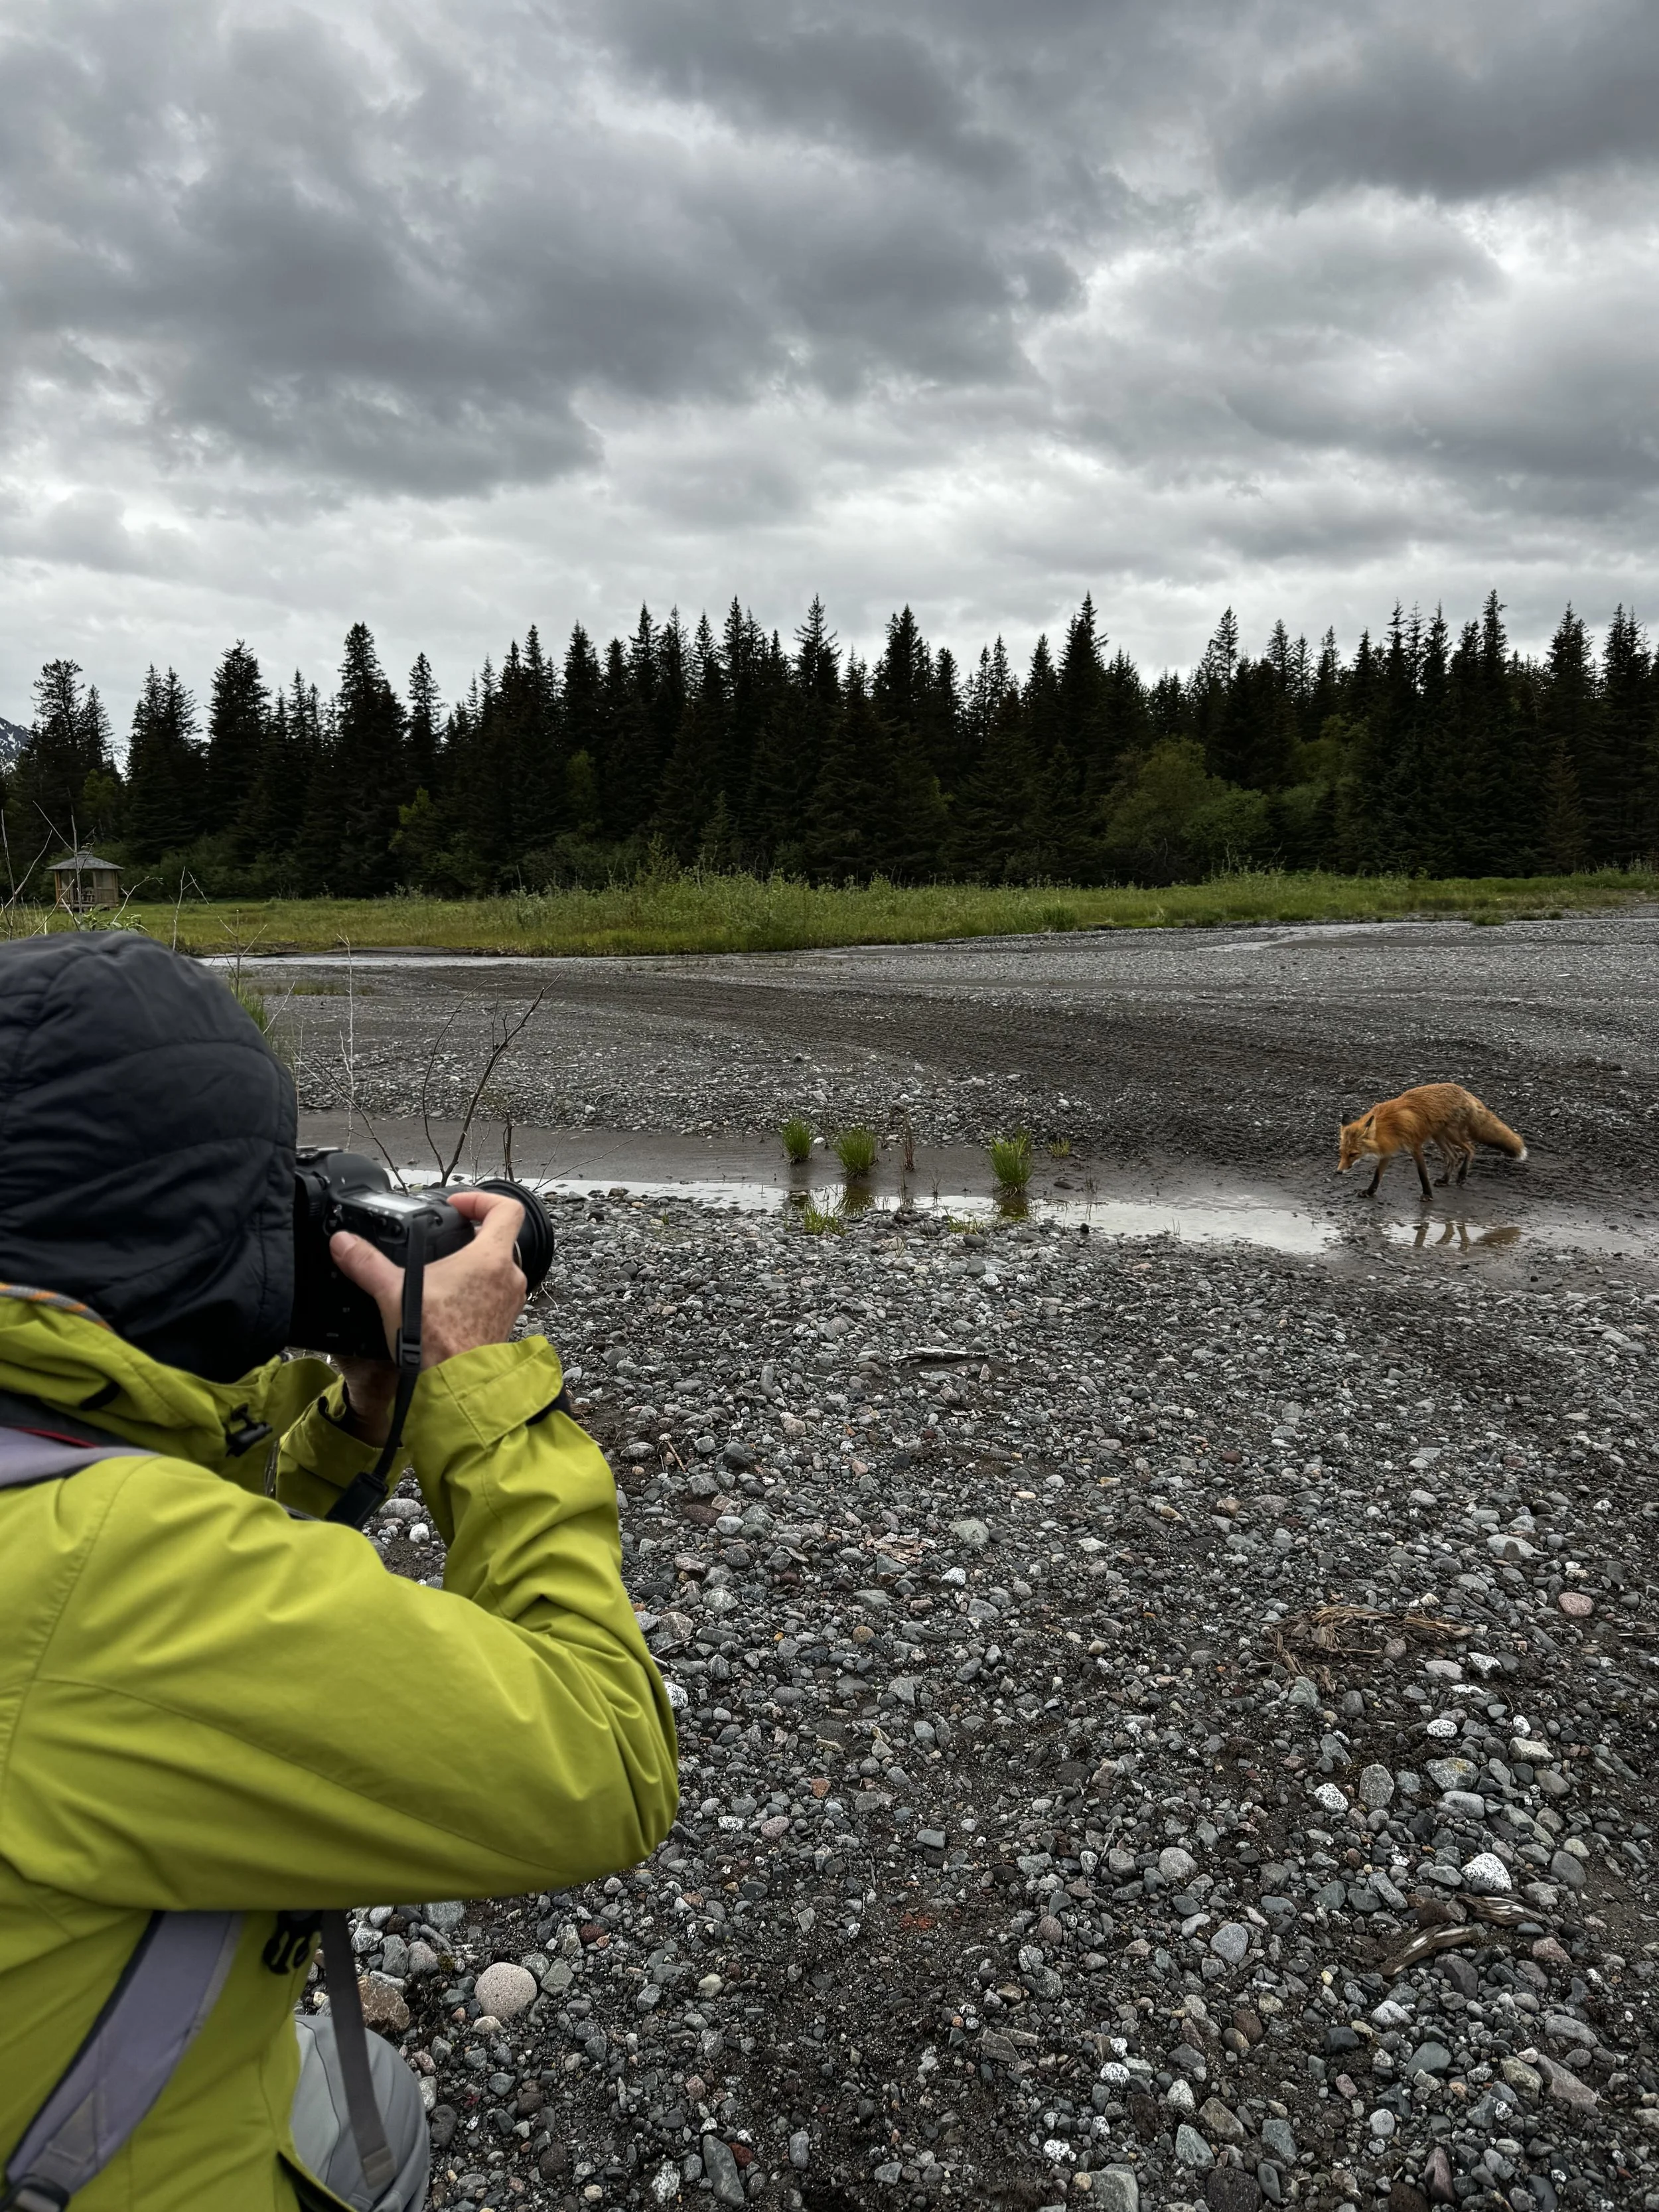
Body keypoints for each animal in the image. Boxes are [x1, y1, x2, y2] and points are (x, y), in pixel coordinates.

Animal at [1338, 1082, 1527, 1201]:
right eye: (1342, 1153)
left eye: (1353, 1154)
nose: (1338, 1172)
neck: (1389, 1126)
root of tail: (1465, 1092)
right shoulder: (1388, 1151)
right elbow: (1377, 1176)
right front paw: (1369, 1192)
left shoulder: (1415, 1147)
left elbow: (1423, 1174)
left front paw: (1428, 1195)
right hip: (1439, 1137)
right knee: (1454, 1155)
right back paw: (1445, 1180)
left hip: (1451, 1134)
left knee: (1470, 1148)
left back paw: (1461, 1176)